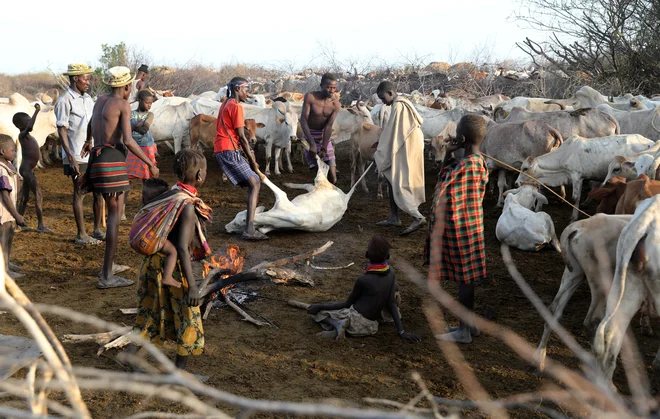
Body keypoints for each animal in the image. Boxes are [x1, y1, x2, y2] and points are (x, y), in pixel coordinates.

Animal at [516, 135, 656, 221]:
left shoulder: (577, 176)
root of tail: (650, 141)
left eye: (525, 168)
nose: (516, 183)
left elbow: (575, 198)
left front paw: (573, 217)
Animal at [536, 215, 636, 372]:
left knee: (553, 310)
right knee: (590, 322)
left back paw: (540, 357)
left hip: (574, 273)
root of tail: (575, 229)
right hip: (598, 282)